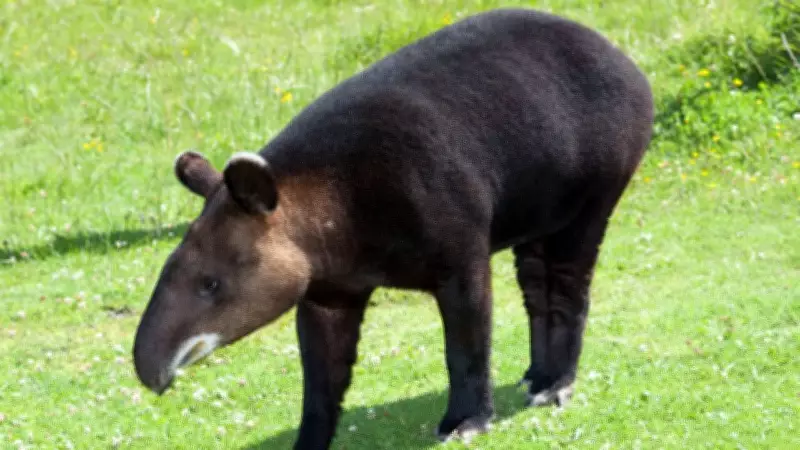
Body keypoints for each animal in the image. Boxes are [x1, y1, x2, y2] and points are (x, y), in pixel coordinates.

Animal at [132, 7, 654, 449]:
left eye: (211, 284)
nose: (147, 369)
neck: (329, 203)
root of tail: (624, 59)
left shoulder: (459, 246)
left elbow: (466, 339)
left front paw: (465, 422)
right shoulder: (328, 286)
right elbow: (321, 372)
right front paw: (309, 440)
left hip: (597, 183)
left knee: (566, 277)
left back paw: (553, 387)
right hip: (539, 202)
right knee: (535, 276)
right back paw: (535, 377)